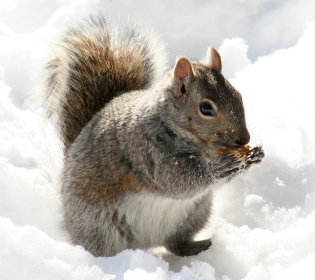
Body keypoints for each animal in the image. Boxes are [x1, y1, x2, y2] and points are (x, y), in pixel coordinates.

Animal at [43, 14, 264, 256]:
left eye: (238, 95)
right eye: (206, 108)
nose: (244, 139)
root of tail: (145, 244)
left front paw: (255, 155)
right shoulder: (146, 150)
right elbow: (178, 179)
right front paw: (221, 166)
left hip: (194, 214)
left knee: (174, 244)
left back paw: (196, 246)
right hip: (97, 225)